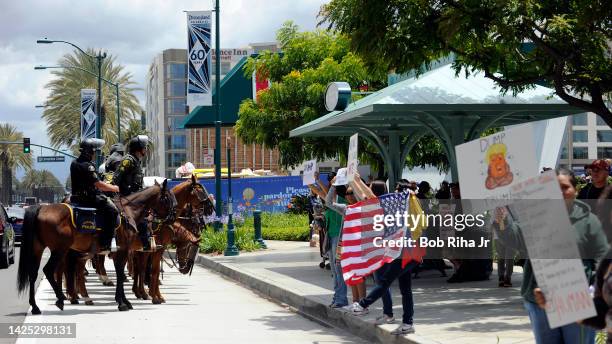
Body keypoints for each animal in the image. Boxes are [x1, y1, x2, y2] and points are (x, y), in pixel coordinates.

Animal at [17, 180, 177, 314]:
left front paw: (125, 300)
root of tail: (41, 208)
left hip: (39, 249)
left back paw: (36, 306)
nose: (173, 218)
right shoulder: (124, 251)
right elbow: (122, 274)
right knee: (51, 270)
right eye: (167, 198)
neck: (130, 210)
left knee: (34, 274)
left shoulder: (123, 252)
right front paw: (123, 302)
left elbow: (123, 273)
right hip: (60, 250)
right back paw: (62, 298)